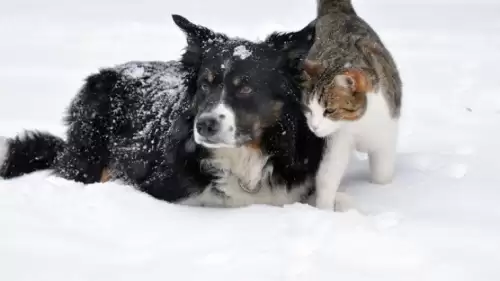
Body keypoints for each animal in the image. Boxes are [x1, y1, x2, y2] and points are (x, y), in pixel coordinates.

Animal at [300, 0, 402, 209]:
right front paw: (323, 210)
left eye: (329, 110)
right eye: (308, 109)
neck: (360, 123)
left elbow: (382, 175)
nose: (314, 127)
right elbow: (328, 175)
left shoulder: (386, 134)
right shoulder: (337, 139)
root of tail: (338, 11)